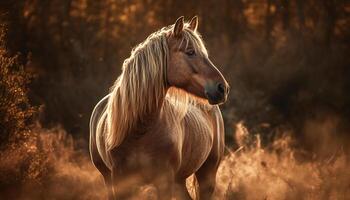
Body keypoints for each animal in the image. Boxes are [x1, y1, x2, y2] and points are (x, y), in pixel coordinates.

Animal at [89, 16, 228, 200]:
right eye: (190, 52)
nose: (222, 88)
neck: (139, 130)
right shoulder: (120, 182)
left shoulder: (164, 181)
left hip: (207, 174)